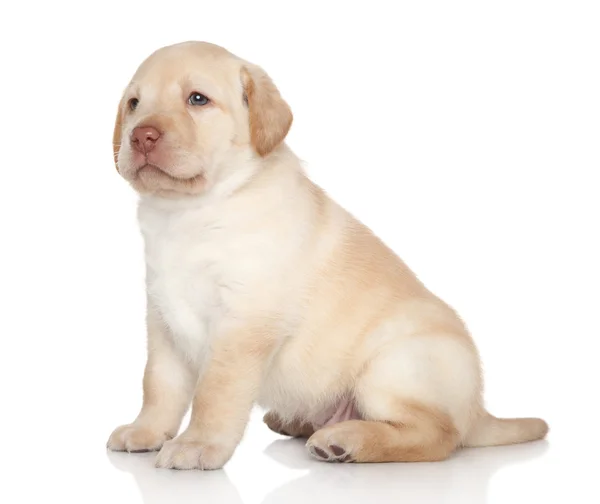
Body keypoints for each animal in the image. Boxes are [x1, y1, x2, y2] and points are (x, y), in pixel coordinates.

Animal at [106, 41, 548, 470]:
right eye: (134, 103)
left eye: (197, 99)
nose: (141, 136)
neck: (188, 212)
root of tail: (477, 410)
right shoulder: (163, 319)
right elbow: (158, 385)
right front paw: (145, 431)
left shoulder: (243, 322)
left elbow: (215, 392)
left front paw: (197, 445)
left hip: (393, 366)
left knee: (437, 435)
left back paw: (344, 442)